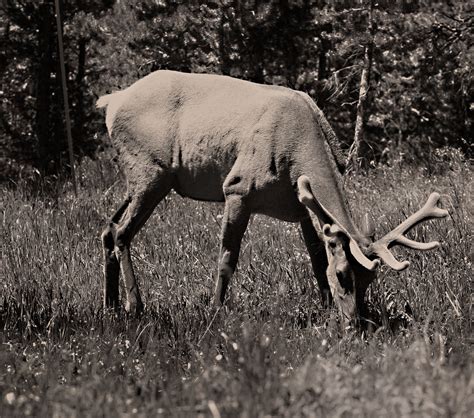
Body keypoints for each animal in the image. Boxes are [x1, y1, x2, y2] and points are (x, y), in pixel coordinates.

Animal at [97, 69, 448, 324]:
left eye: (369, 281)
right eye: (343, 274)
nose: (356, 321)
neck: (299, 149)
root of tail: (112, 101)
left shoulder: (302, 206)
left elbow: (315, 257)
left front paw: (324, 307)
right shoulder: (237, 188)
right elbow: (227, 257)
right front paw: (216, 310)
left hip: (142, 180)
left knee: (108, 228)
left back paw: (110, 305)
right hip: (149, 171)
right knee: (123, 232)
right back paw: (134, 306)